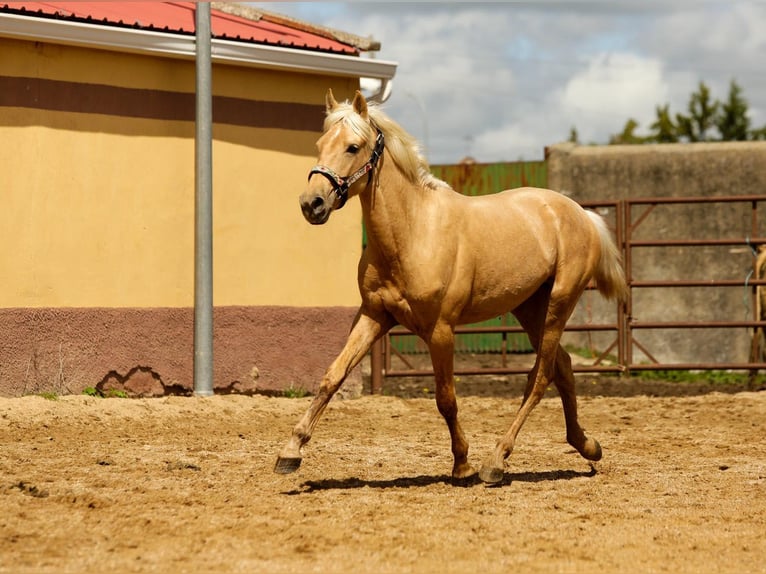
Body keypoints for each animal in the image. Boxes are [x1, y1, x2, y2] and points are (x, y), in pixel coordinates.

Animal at [272, 91, 628, 486]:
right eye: (320, 145)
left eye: (353, 146)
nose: (312, 204)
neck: (413, 232)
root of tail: (583, 214)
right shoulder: (373, 316)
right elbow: (331, 377)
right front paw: (290, 452)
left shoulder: (440, 330)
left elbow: (446, 398)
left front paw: (463, 465)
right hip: (530, 309)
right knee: (563, 367)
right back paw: (587, 446)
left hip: (557, 307)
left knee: (542, 375)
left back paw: (495, 461)